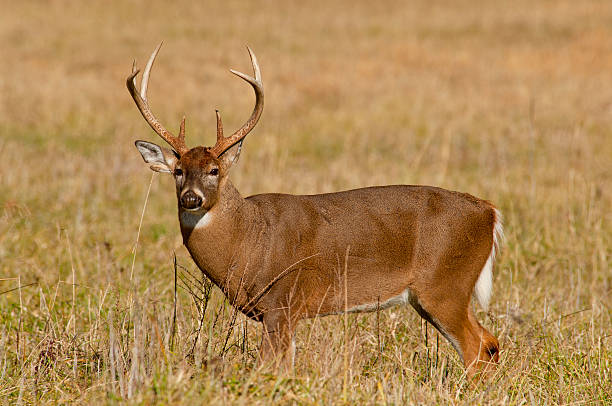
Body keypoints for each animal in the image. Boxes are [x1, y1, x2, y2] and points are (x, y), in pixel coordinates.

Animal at [128, 42, 502, 376]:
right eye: (178, 171)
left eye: (214, 170)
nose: (191, 198)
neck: (249, 240)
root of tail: (489, 211)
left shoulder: (282, 301)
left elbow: (269, 369)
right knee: (490, 343)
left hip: (444, 283)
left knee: (476, 350)